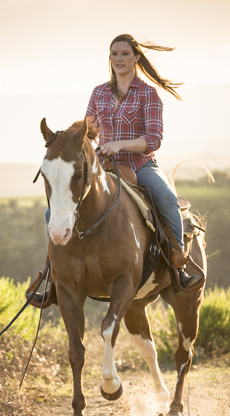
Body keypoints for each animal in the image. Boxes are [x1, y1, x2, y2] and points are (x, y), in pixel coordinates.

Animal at [37, 117, 207, 416]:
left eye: (78, 173)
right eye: (44, 174)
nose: (59, 233)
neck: (90, 228)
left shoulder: (123, 283)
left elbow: (107, 328)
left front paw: (111, 386)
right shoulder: (69, 290)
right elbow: (76, 348)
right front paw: (78, 405)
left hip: (187, 303)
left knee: (184, 354)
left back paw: (175, 405)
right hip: (136, 306)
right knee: (149, 349)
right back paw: (161, 397)